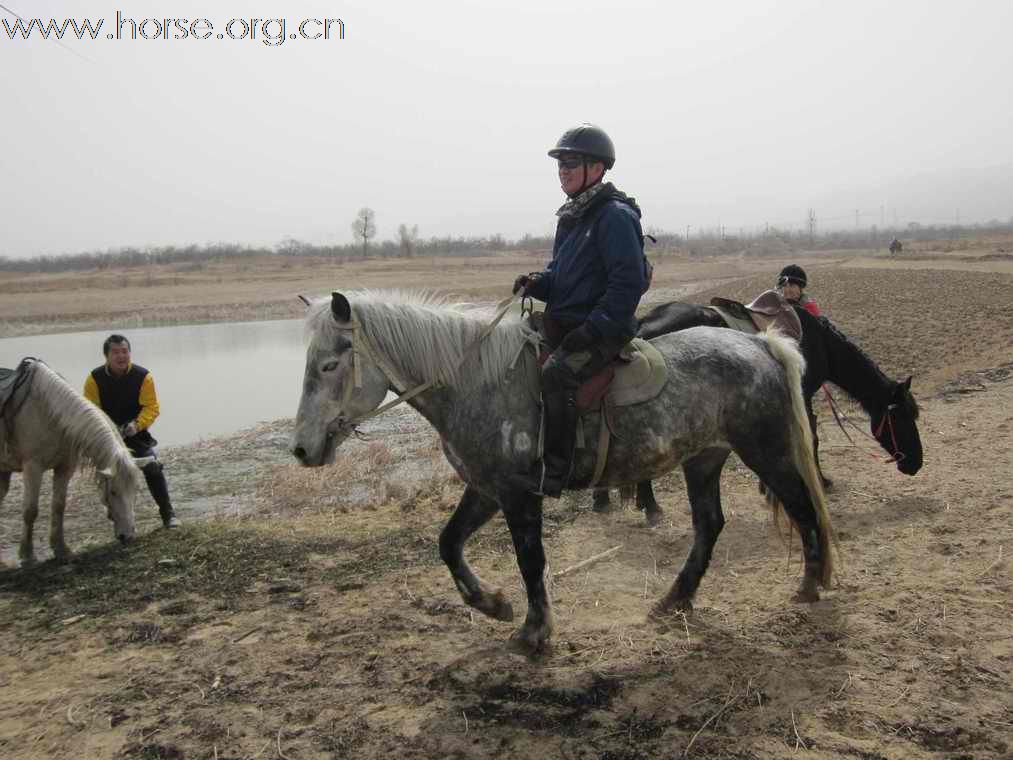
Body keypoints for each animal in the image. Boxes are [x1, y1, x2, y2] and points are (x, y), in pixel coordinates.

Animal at [0, 358, 143, 567]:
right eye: (113, 492)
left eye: (135, 490)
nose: (128, 535)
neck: (49, 412)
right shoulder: (32, 468)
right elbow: (30, 511)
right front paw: (27, 556)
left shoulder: (64, 468)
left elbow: (59, 506)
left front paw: (61, 550)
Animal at [291, 291, 830, 656]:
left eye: (330, 364)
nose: (301, 448)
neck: (477, 383)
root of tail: (759, 344)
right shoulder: (486, 488)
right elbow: (448, 544)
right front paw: (492, 603)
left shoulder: (517, 494)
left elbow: (531, 561)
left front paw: (534, 630)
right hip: (704, 459)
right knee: (709, 525)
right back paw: (675, 599)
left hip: (765, 450)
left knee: (801, 505)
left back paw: (811, 583)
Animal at [591, 299, 927, 526]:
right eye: (902, 417)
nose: (915, 465)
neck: (819, 342)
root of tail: (642, 327)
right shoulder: (802, 395)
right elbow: (810, 439)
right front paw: (817, 480)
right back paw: (650, 507)